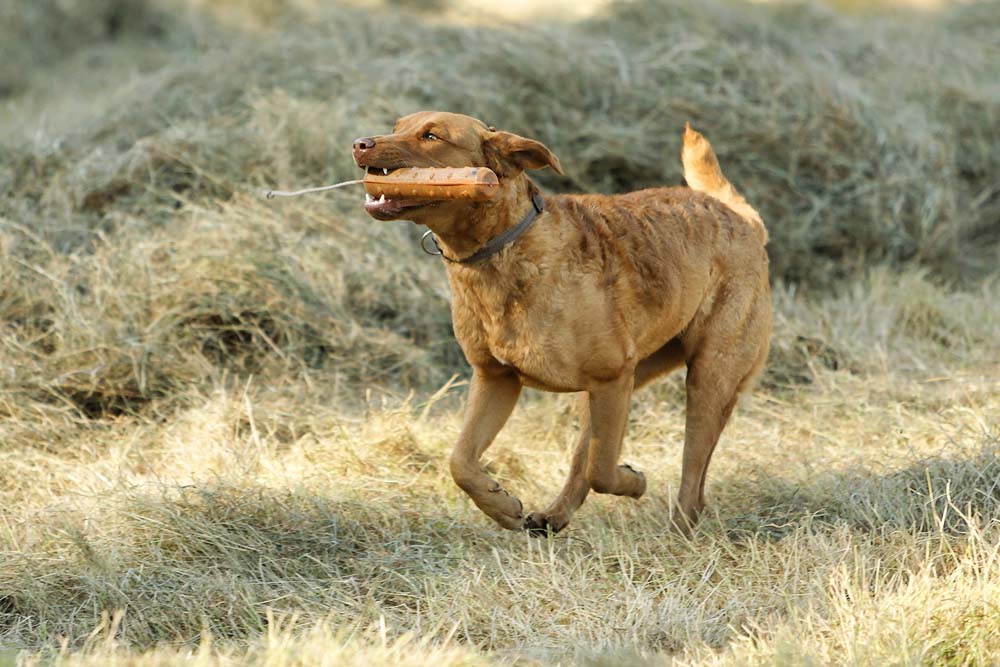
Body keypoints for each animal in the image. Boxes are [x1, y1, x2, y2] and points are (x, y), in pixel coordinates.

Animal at [354, 112, 772, 536]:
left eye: (432, 136)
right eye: (397, 126)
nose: (360, 144)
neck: (502, 249)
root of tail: (743, 218)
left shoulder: (610, 378)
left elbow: (602, 469)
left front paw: (634, 481)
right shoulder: (496, 380)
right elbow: (461, 461)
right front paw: (502, 506)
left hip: (708, 378)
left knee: (690, 476)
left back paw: (678, 530)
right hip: (622, 383)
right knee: (585, 458)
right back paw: (553, 515)